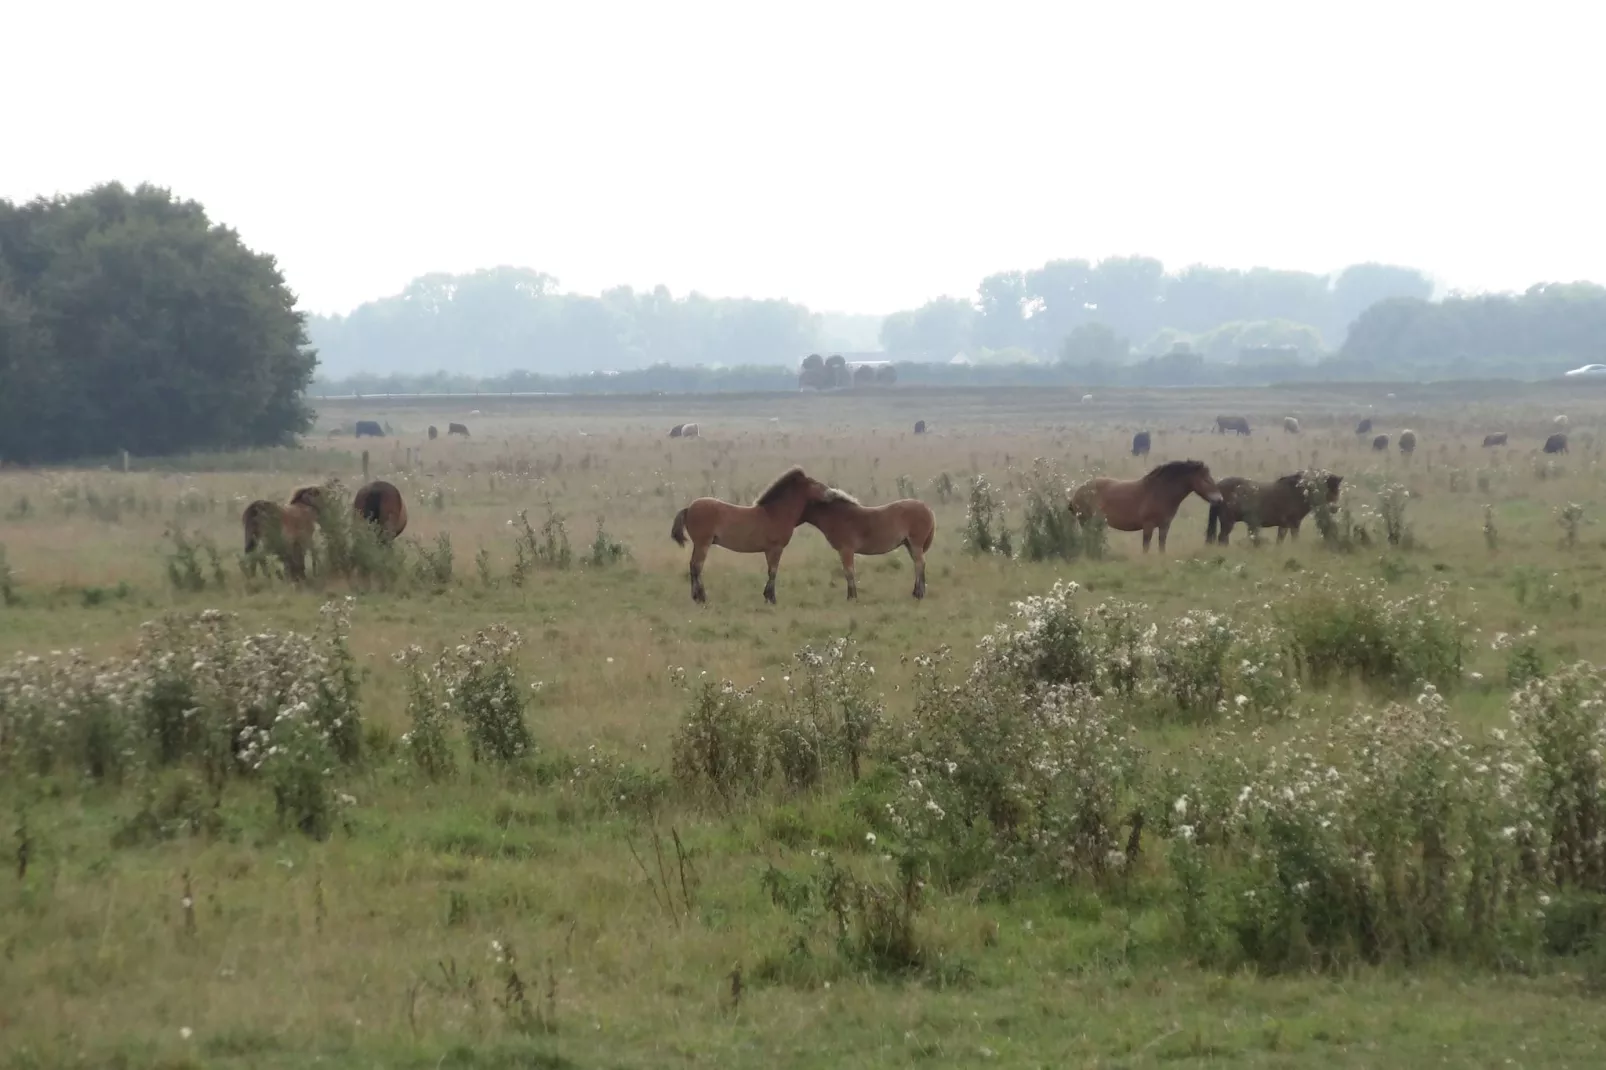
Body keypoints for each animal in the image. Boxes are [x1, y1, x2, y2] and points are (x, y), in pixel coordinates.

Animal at [671, 465, 835, 604]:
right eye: (815, 483)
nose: (832, 493)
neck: (774, 513)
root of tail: (689, 508)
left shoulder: (769, 550)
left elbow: (770, 571)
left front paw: (768, 596)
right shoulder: (775, 548)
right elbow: (773, 572)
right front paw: (771, 598)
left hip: (699, 544)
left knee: (693, 566)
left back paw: (696, 597)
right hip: (703, 543)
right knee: (697, 566)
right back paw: (701, 597)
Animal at [796, 491, 937, 600]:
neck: (839, 516)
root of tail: (928, 509)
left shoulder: (846, 550)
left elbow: (849, 572)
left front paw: (851, 597)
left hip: (915, 544)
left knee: (919, 564)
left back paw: (918, 594)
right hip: (909, 544)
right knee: (918, 564)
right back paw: (916, 592)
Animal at [1072, 456, 1220, 549]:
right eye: (1206, 479)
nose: (1219, 499)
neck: (1160, 492)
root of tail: (1079, 491)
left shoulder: (1165, 526)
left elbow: (1162, 546)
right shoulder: (1148, 526)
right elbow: (1146, 547)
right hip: (1086, 521)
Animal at [1207, 472, 1342, 546]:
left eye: (1337, 489)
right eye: (1328, 488)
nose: (1335, 508)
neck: (1296, 493)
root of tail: (1217, 487)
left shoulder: (1286, 525)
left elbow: (1281, 540)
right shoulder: (1291, 524)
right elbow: (1291, 539)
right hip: (1227, 521)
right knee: (1222, 538)